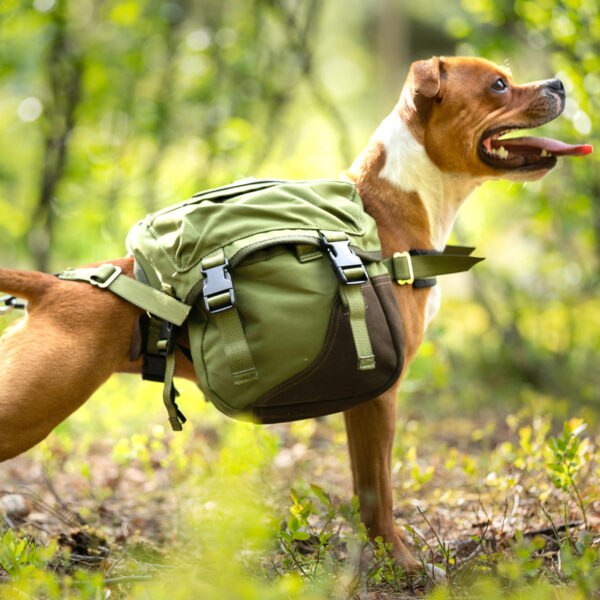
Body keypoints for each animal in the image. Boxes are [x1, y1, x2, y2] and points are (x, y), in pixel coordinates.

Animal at [0, 57, 592, 572]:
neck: (394, 209)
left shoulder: (363, 399)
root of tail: (51, 286)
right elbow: (378, 492)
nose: (560, 82)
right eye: (498, 85)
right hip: (33, 401)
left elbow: (364, 488)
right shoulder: (380, 395)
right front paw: (402, 564)